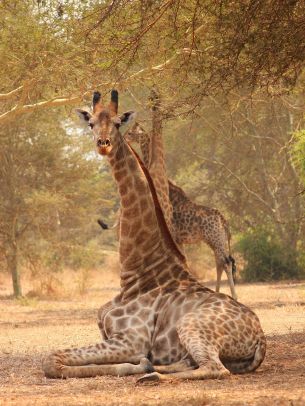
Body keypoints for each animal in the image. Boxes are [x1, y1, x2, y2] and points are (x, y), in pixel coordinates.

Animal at [41, 90, 264, 382]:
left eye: (117, 123)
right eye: (90, 123)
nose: (103, 144)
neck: (134, 276)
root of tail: (261, 338)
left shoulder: (131, 339)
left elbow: (50, 359)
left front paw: (138, 366)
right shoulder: (112, 336)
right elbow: (54, 358)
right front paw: (140, 364)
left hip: (191, 324)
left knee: (215, 368)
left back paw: (151, 375)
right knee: (191, 362)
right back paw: (154, 367)